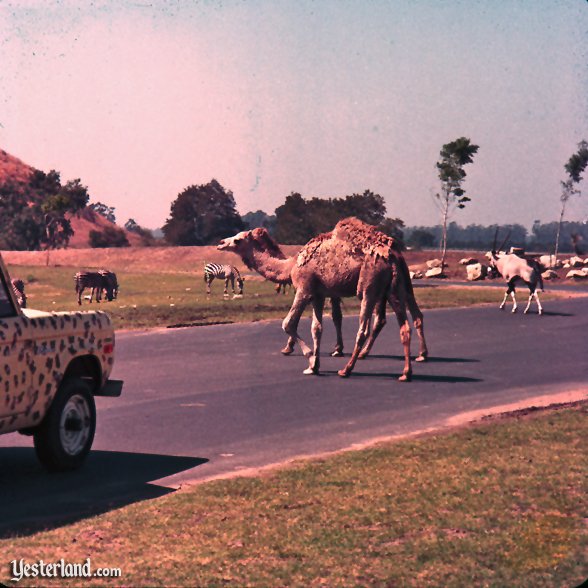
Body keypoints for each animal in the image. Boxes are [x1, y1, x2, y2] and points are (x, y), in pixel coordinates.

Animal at [216, 217, 428, 382]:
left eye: (238, 240)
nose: (221, 242)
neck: (291, 265)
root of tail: (392, 255)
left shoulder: (304, 289)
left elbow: (288, 324)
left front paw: (309, 357)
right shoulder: (318, 295)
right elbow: (317, 328)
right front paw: (315, 365)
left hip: (369, 285)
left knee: (365, 328)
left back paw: (346, 369)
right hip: (395, 287)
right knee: (406, 324)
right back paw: (407, 371)